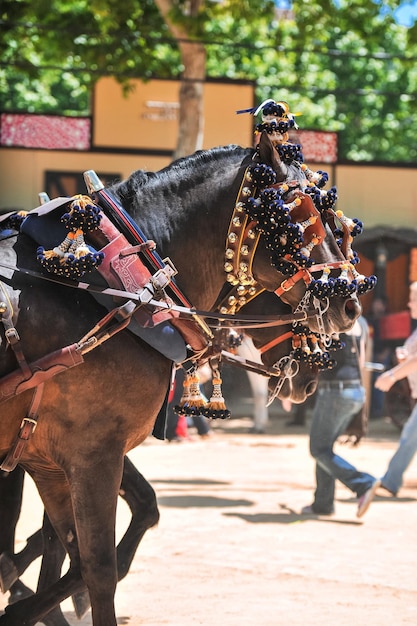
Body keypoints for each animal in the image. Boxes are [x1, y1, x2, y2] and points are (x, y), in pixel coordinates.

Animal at [0, 133, 362, 624]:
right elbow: (98, 568)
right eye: (301, 216)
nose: (350, 303)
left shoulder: (48, 460)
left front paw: (24, 601)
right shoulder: (92, 454)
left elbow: (74, 547)